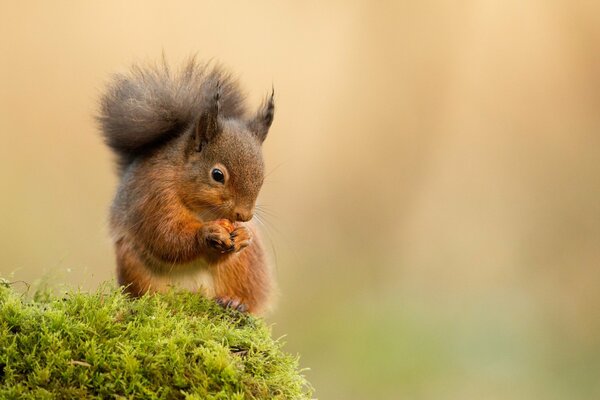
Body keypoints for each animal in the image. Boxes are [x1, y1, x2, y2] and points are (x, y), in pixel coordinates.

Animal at [97, 58, 276, 316]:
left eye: (261, 177)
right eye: (217, 175)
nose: (244, 215)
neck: (204, 211)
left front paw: (243, 235)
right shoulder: (155, 197)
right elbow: (167, 237)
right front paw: (207, 233)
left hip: (248, 269)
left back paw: (234, 302)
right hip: (133, 264)